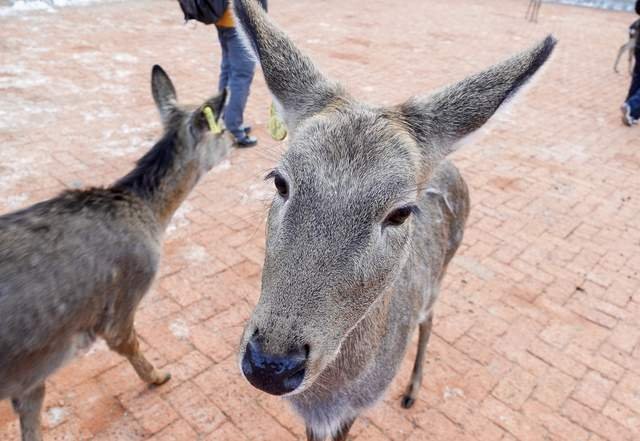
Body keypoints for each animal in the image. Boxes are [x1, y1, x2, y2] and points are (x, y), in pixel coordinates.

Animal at [0, 65, 231, 441]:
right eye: (222, 127)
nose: (239, 138)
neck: (150, 214)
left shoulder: (32, 371)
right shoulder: (125, 293)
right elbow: (127, 342)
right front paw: (159, 376)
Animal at [232, 1, 556, 440]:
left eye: (400, 212)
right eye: (280, 181)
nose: (271, 365)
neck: (326, 399)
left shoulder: (355, 407)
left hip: (441, 273)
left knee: (430, 318)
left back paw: (412, 391)